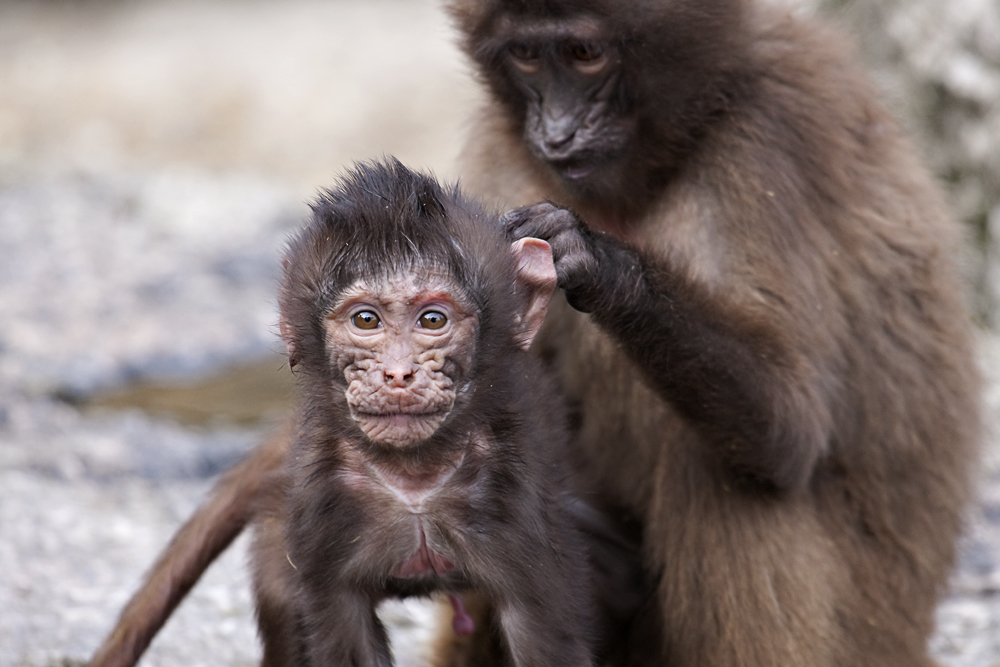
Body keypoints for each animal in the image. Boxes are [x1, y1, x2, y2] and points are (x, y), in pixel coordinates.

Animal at [252, 160, 592, 667]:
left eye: (433, 320)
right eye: (365, 320)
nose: (397, 373)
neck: (415, 481)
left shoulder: (515, 502)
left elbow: (544, 635)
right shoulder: (325, 505)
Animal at [440, 0, 984, 664]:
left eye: (584, 54)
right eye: (525, 56)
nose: (557, 133)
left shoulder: (766, 147)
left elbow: (789, 423)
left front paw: (596, 259)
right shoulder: (501, 157)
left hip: (870, 633)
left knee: (726, 464)